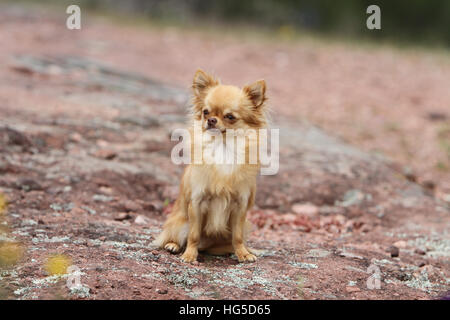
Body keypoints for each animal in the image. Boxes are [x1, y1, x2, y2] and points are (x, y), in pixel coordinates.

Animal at [153, 70, 268, 262]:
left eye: (230, 117)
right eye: (205, 112)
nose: (211, 120)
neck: (223, 147)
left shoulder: (240, 206)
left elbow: (237, 236)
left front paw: (243, 254)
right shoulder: (197, 202)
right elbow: (193, 235)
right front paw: (189, 255)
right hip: (180, 223)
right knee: (177, 236)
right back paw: (173, 245)